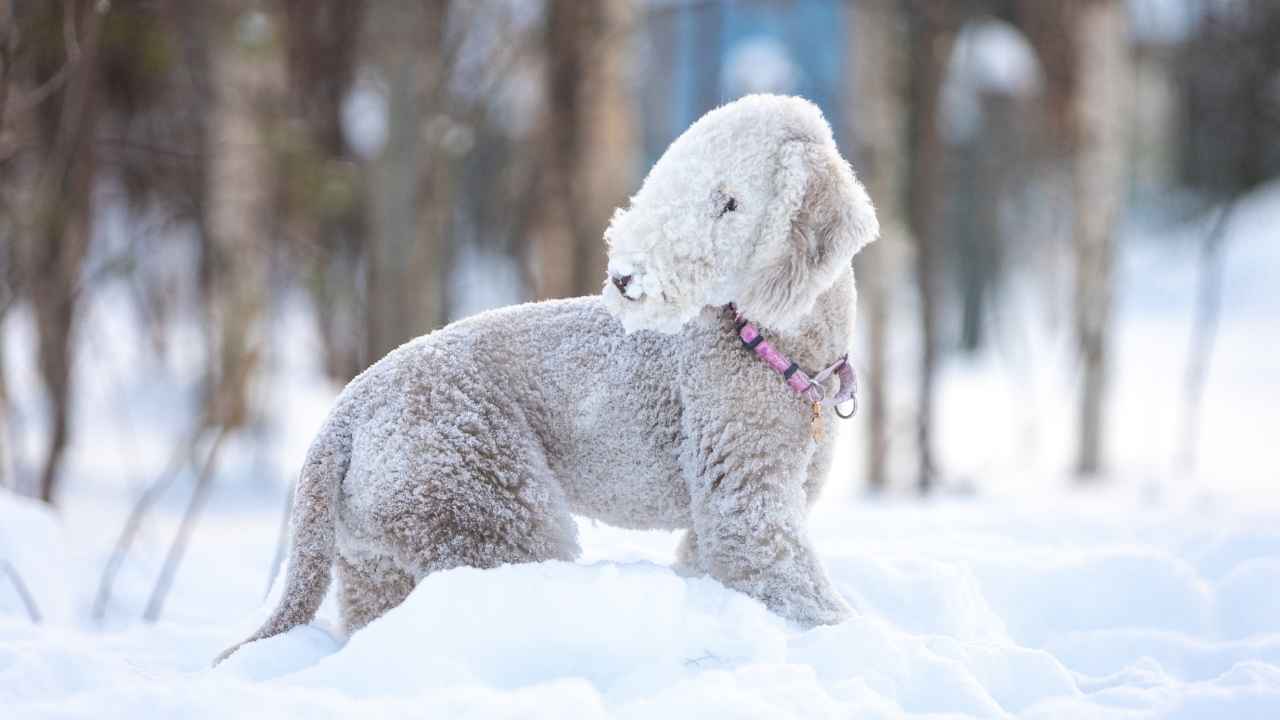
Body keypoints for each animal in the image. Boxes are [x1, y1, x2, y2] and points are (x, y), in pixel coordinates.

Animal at [217, 95, 880, 661]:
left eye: (731, 203)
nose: (625, 278)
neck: (774, 345)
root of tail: (344, 416)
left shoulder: (734, 513)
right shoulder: (746, 507)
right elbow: (798, 588)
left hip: (374, 551)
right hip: (481, 500)